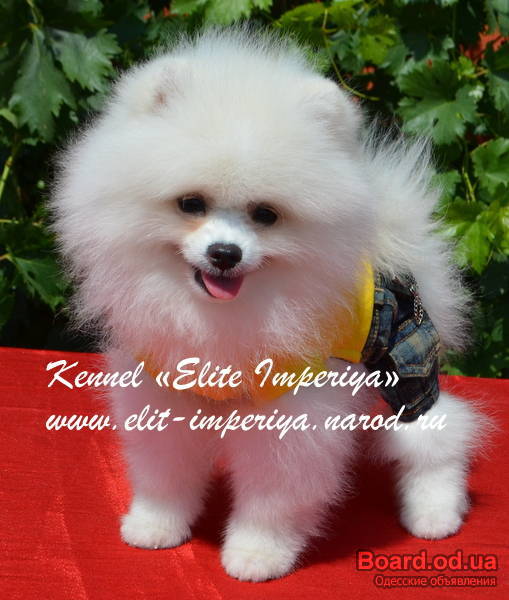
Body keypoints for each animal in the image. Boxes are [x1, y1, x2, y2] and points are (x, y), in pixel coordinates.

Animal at [50, 28, 486, 582]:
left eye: (266, 214)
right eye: (191, 203)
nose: (225, 253)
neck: (220, 315)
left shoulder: (291, 408)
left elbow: (274, 493)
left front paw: (258, 552)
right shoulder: (165, 384)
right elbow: (165, 468)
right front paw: (155, 525)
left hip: (405, 360)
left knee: (436, 434)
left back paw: (435, 512)